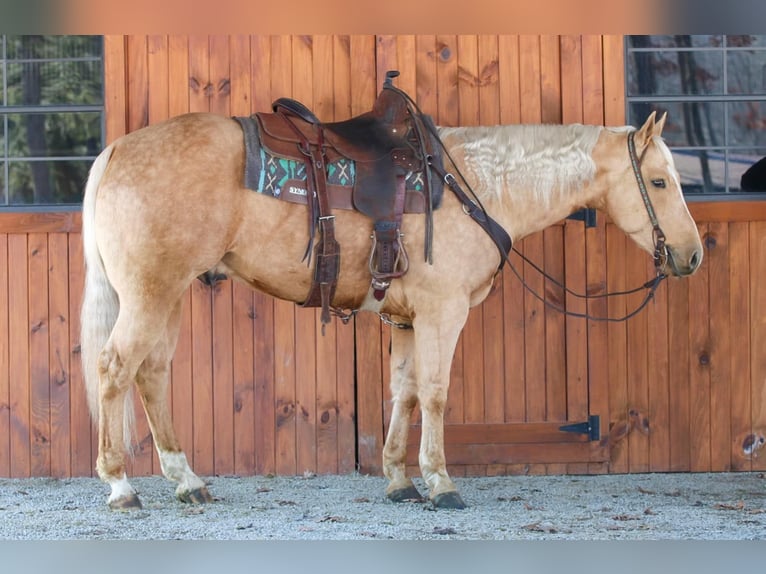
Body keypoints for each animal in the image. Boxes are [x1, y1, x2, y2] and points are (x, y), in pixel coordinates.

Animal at [81, 109, 704, 512]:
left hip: (171, 295)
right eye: (658, 181)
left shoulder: (406, 320)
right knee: (114, 369)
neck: (476, 186)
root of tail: (115, 151)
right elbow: (435, 393)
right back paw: (120, 486)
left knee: (152, 375)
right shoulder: (442, 314)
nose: (693, 255)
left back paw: (187, 481)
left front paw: (400, 481)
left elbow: (402, 391)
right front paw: (441, 483)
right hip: (151, 293)